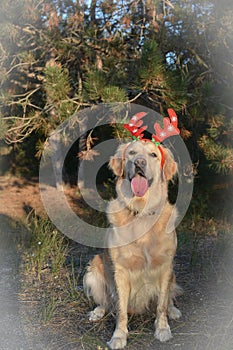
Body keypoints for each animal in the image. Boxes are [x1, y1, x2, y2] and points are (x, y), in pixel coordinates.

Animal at [83, 140, 182, 350]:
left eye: (153, 155)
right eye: (132, 153)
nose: (139, 162)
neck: (141, 210)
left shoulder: (165, 267)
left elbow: (161, 304)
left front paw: (162, 329)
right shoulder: (120, 271)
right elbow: (120, 310)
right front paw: (119, 336)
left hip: (173, 274)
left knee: (169, 297)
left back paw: (173, 310)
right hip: (93, 270)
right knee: (106, 301)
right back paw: (97, 312)